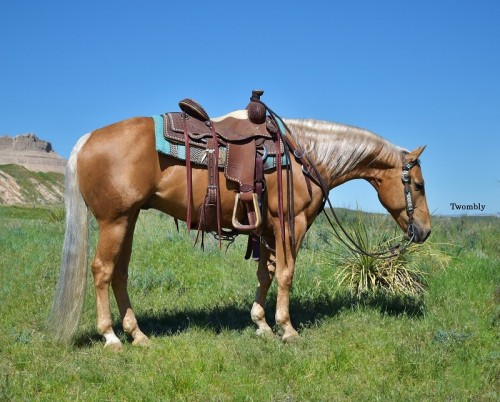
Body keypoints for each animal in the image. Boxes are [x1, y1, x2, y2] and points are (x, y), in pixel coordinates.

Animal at [49, 110, 430, 348]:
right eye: (419, 185)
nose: (424, 231)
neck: (305, 157)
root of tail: (87, 140)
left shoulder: (266, 230)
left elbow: (266, 274)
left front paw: (261, 323)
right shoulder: (292, 223)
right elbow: (286, 274)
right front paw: (287, 328)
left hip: (127, 220)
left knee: (119, 273)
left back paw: (137, 334)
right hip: (115, 221)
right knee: (102, 270)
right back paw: (111, 336)